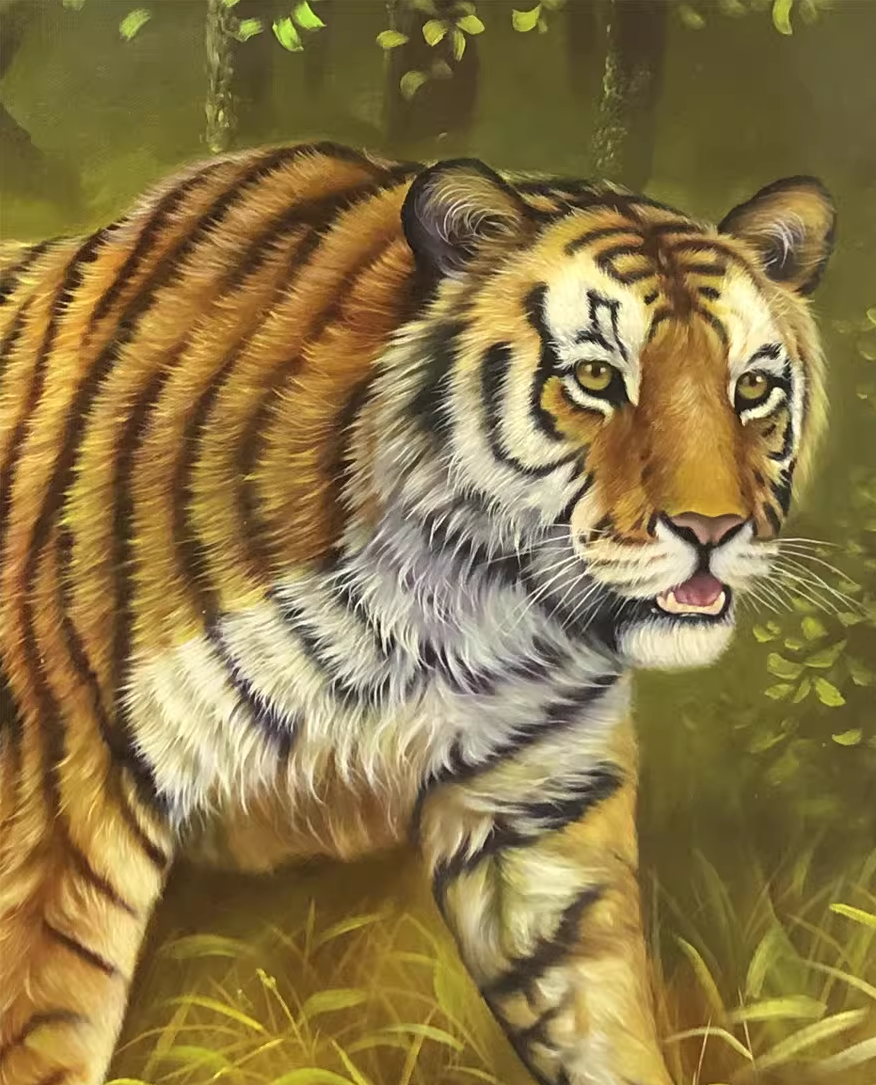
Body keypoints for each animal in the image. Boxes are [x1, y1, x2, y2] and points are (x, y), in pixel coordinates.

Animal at [0, 141, 835, 1085]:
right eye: (595, 377)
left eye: (753, 388)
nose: (713, 529)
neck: (459, 601)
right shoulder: (66, 795)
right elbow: (44, 1028)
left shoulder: (541, 813)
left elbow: (601, 1026)